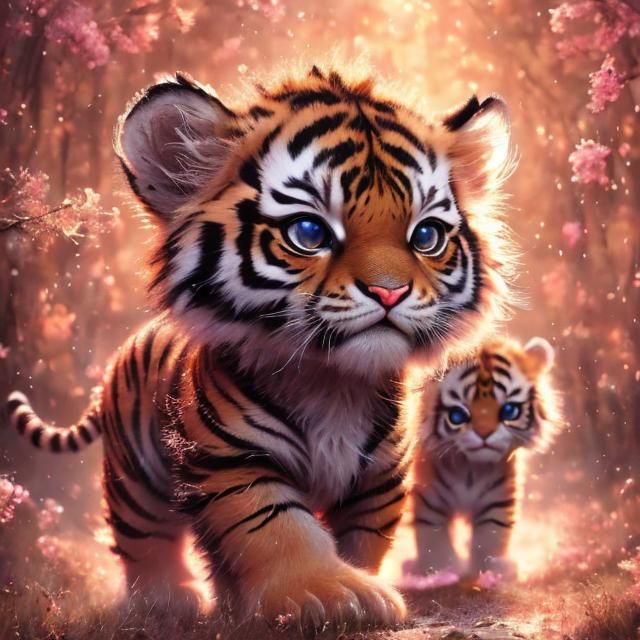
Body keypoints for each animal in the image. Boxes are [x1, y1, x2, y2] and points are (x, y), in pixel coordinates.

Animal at [6, 66, 515, 631]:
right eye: (309, 232)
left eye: (426, 236)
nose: (390, 292)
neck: (333, 383)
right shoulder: (232, 460)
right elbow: (278, 526)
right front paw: (335, 594)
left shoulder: (382, 476)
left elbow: (364, 539)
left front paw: (361, 585)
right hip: (134, 476)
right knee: (145, 535)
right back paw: (165, 600)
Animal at [406, 336, 561, 581]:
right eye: (458, 415)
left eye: (509, 410)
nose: (484, 434)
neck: (470, 468)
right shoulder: (430, 503)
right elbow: (433, 540)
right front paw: (439, 572)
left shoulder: (496, 504)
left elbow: (489, 540)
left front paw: (486, 573)